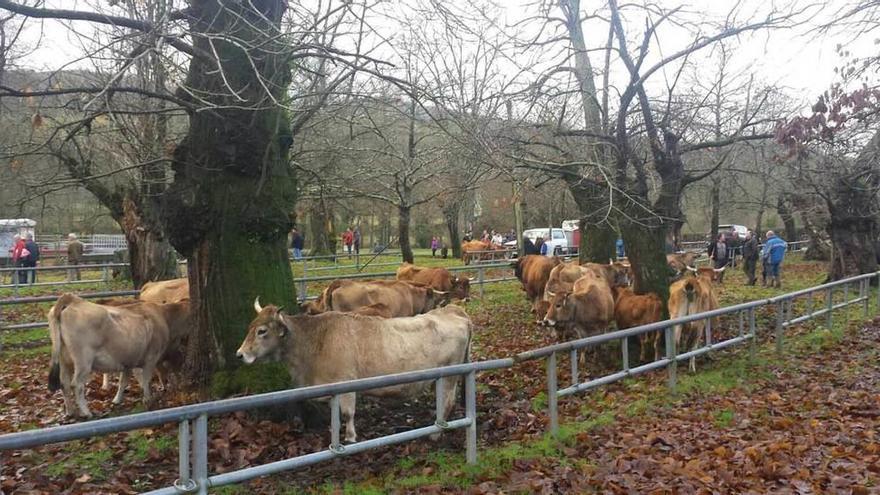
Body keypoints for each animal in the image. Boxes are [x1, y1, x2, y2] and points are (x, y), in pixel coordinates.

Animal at [46, 294, 191, 418]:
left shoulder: (129, 361)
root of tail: (73, 299)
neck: (163, 316)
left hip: (64, 361)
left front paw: (117, 400)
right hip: (83, 361)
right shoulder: (151, 358)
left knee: (64, 384)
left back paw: (70, 412)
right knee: (77, 384)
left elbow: (123, 381)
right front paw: (148, 399)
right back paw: (86, 412)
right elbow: (146, 379)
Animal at [234, 300, 468, 444]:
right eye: (249, 327)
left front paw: (349, 437)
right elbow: (336, 412)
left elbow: (348, 413)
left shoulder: (345, 383)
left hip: (450, 375)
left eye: (262, 331)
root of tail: (453, 311)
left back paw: (436, 434)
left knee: (447, 402)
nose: (240, 354)